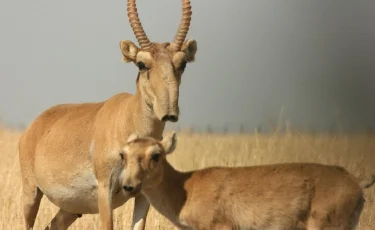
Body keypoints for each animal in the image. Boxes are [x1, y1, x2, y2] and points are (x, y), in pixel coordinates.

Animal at [18, 0, 200, 229]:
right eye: (141, 64)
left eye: (182, 63)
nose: (169, 112)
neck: (127, 117)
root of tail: (34, 127)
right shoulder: (105, 190)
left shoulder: (143, 194)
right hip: (31, 195)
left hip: (70, 209)